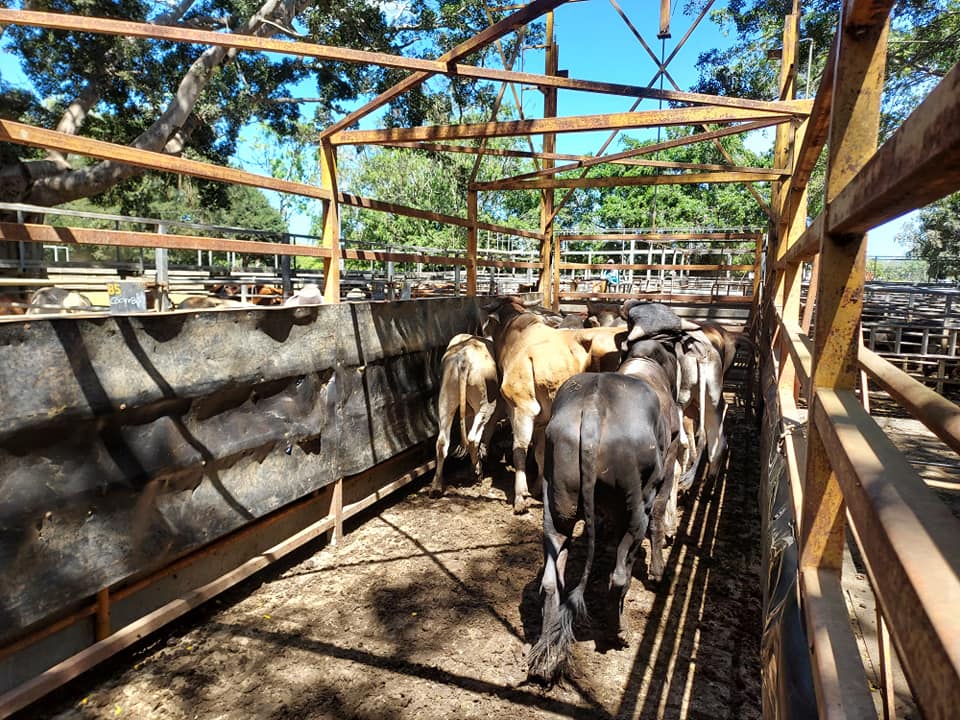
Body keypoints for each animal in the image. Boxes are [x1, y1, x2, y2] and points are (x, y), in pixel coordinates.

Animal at [430, 333, 503, 498]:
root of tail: (463, 359)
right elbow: (487, 433)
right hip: (484, 404)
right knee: (473, 438)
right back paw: (477, 472)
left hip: (446, 400)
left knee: (442, 442)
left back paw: (436, 486)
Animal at [526, 333, 682, 684]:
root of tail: (594, 409)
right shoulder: (669, 459)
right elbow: (659, 515)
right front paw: (658, 570)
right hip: (635, 503)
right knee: (620, 575)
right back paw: (619, 632)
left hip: (556, 504)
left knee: (551, 579)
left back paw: (546, 659)